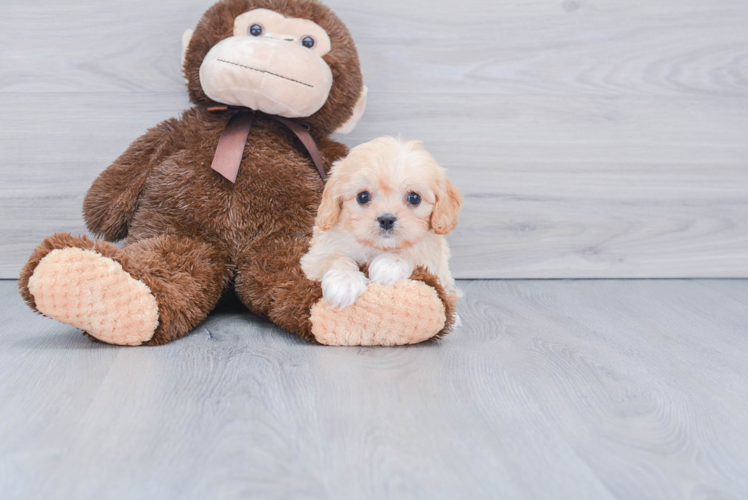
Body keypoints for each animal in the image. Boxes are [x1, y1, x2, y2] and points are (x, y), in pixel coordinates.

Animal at [300, 137, 462, 308]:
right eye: (363, 197)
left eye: (414, 198)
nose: (386, 219)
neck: (378, 246)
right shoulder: (315, 257)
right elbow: (335, 258)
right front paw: (345, 282)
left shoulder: (432, 258)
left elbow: (413, 251)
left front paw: (389, 264)